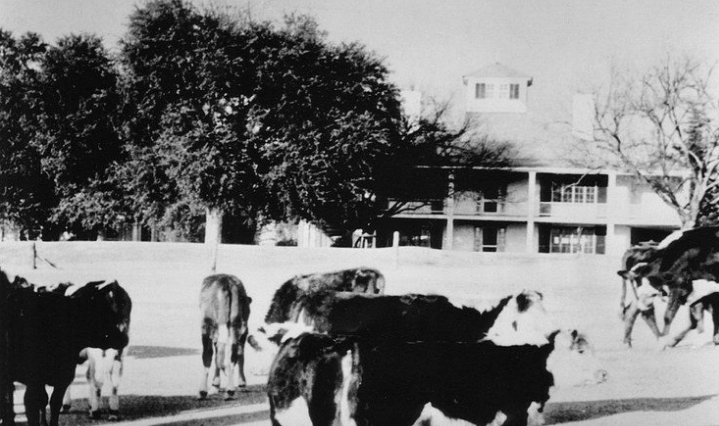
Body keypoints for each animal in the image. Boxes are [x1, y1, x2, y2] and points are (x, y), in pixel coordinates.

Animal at [198, 272, 252, 400]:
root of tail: (227, 282)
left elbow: (210, 355)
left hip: (212, 325)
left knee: (212, 354)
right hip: (237, 325)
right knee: (234, 353)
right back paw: (231, 389)